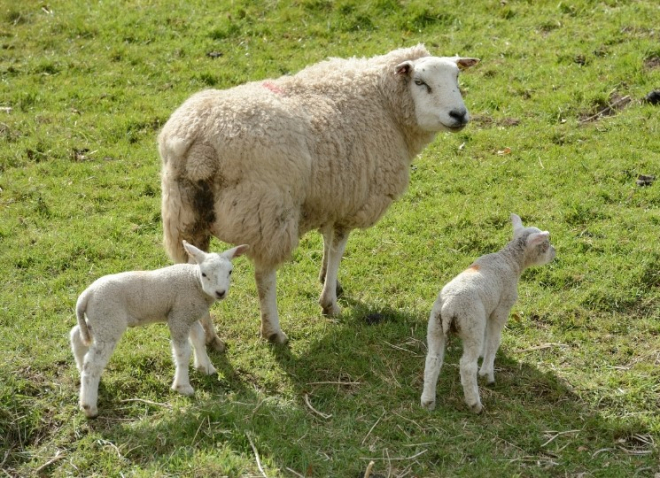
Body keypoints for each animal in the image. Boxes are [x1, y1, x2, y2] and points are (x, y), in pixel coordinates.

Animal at [69, 241, 249, 416]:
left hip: (97, 319)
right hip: (108, 321)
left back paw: (81, 372)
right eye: (204, 274)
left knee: (77, 337)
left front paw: (206, 367)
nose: (220, 292)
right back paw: (89, 406)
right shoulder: (179, 317)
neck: (194, 282)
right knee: (93, 364)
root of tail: (86, 295)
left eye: (230, 271)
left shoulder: (188, 314)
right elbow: (183, 352)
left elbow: (199, 338)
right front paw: (183, 386)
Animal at [160, 44, 480, 346]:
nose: (459, 115)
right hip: (267, 213)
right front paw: (329, 303)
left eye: (457, 76)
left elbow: (327, 240)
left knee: (195, 271)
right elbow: (338, 245)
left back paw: (211, 340)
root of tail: (201, 146)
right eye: (420, 82)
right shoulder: (354, 198)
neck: (382, 102)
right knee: (264, 276)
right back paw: (273, 332)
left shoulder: (332, 192)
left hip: (185, 218)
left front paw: (328, 279)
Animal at [420, 215, 556, 412]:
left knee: (432, 359)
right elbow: (494, 339)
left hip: (435, 325)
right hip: (471, 325)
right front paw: (487, 373)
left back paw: (428, 401)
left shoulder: (488, 310)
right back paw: (474, 404)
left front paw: (484, 356)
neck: (510, 260)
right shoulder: (501, 307)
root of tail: (449, 308)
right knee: (467, 366)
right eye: (545, 243)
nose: (554, 252)